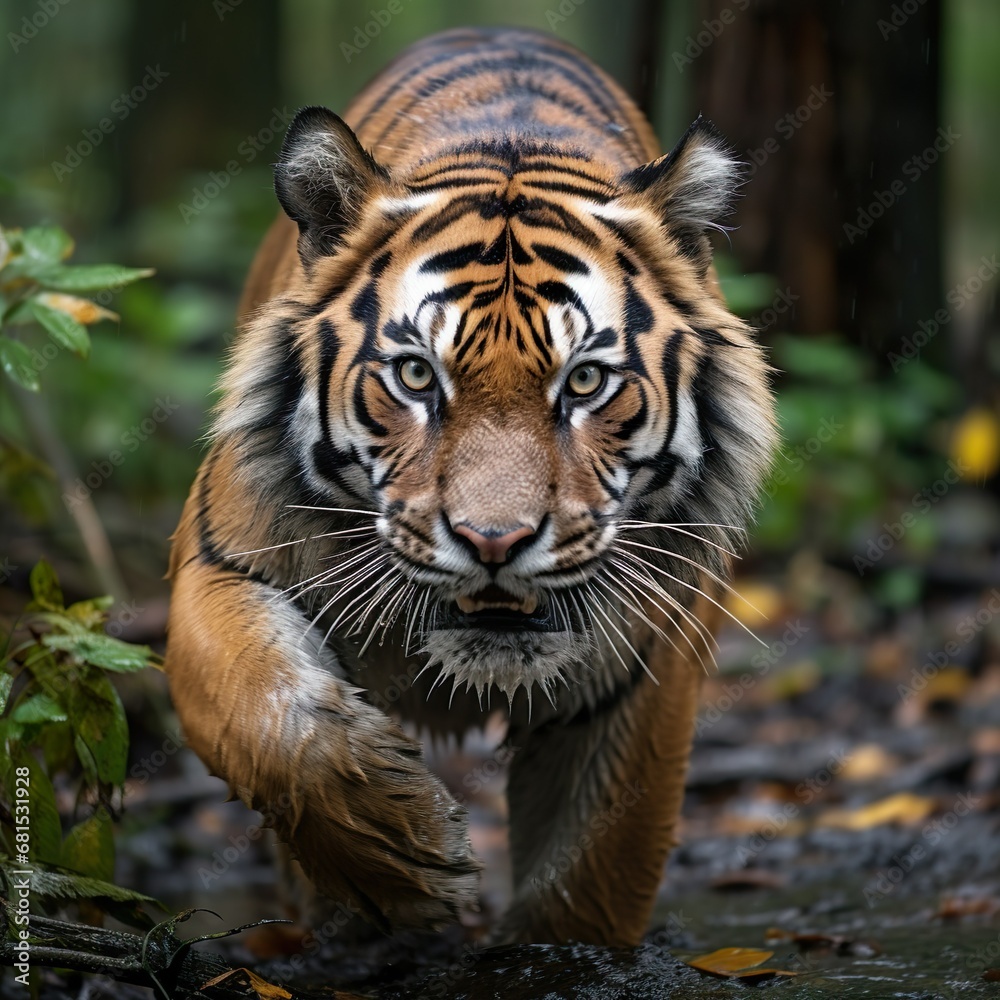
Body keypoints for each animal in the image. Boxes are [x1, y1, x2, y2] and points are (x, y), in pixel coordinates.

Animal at [164, 26, 776, 947]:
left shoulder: (648, 657)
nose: (495, 542)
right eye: (418, 375)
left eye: (585, 382)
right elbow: (268, 715)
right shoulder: (217, 559)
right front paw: (403, 858)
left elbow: (594, 865)